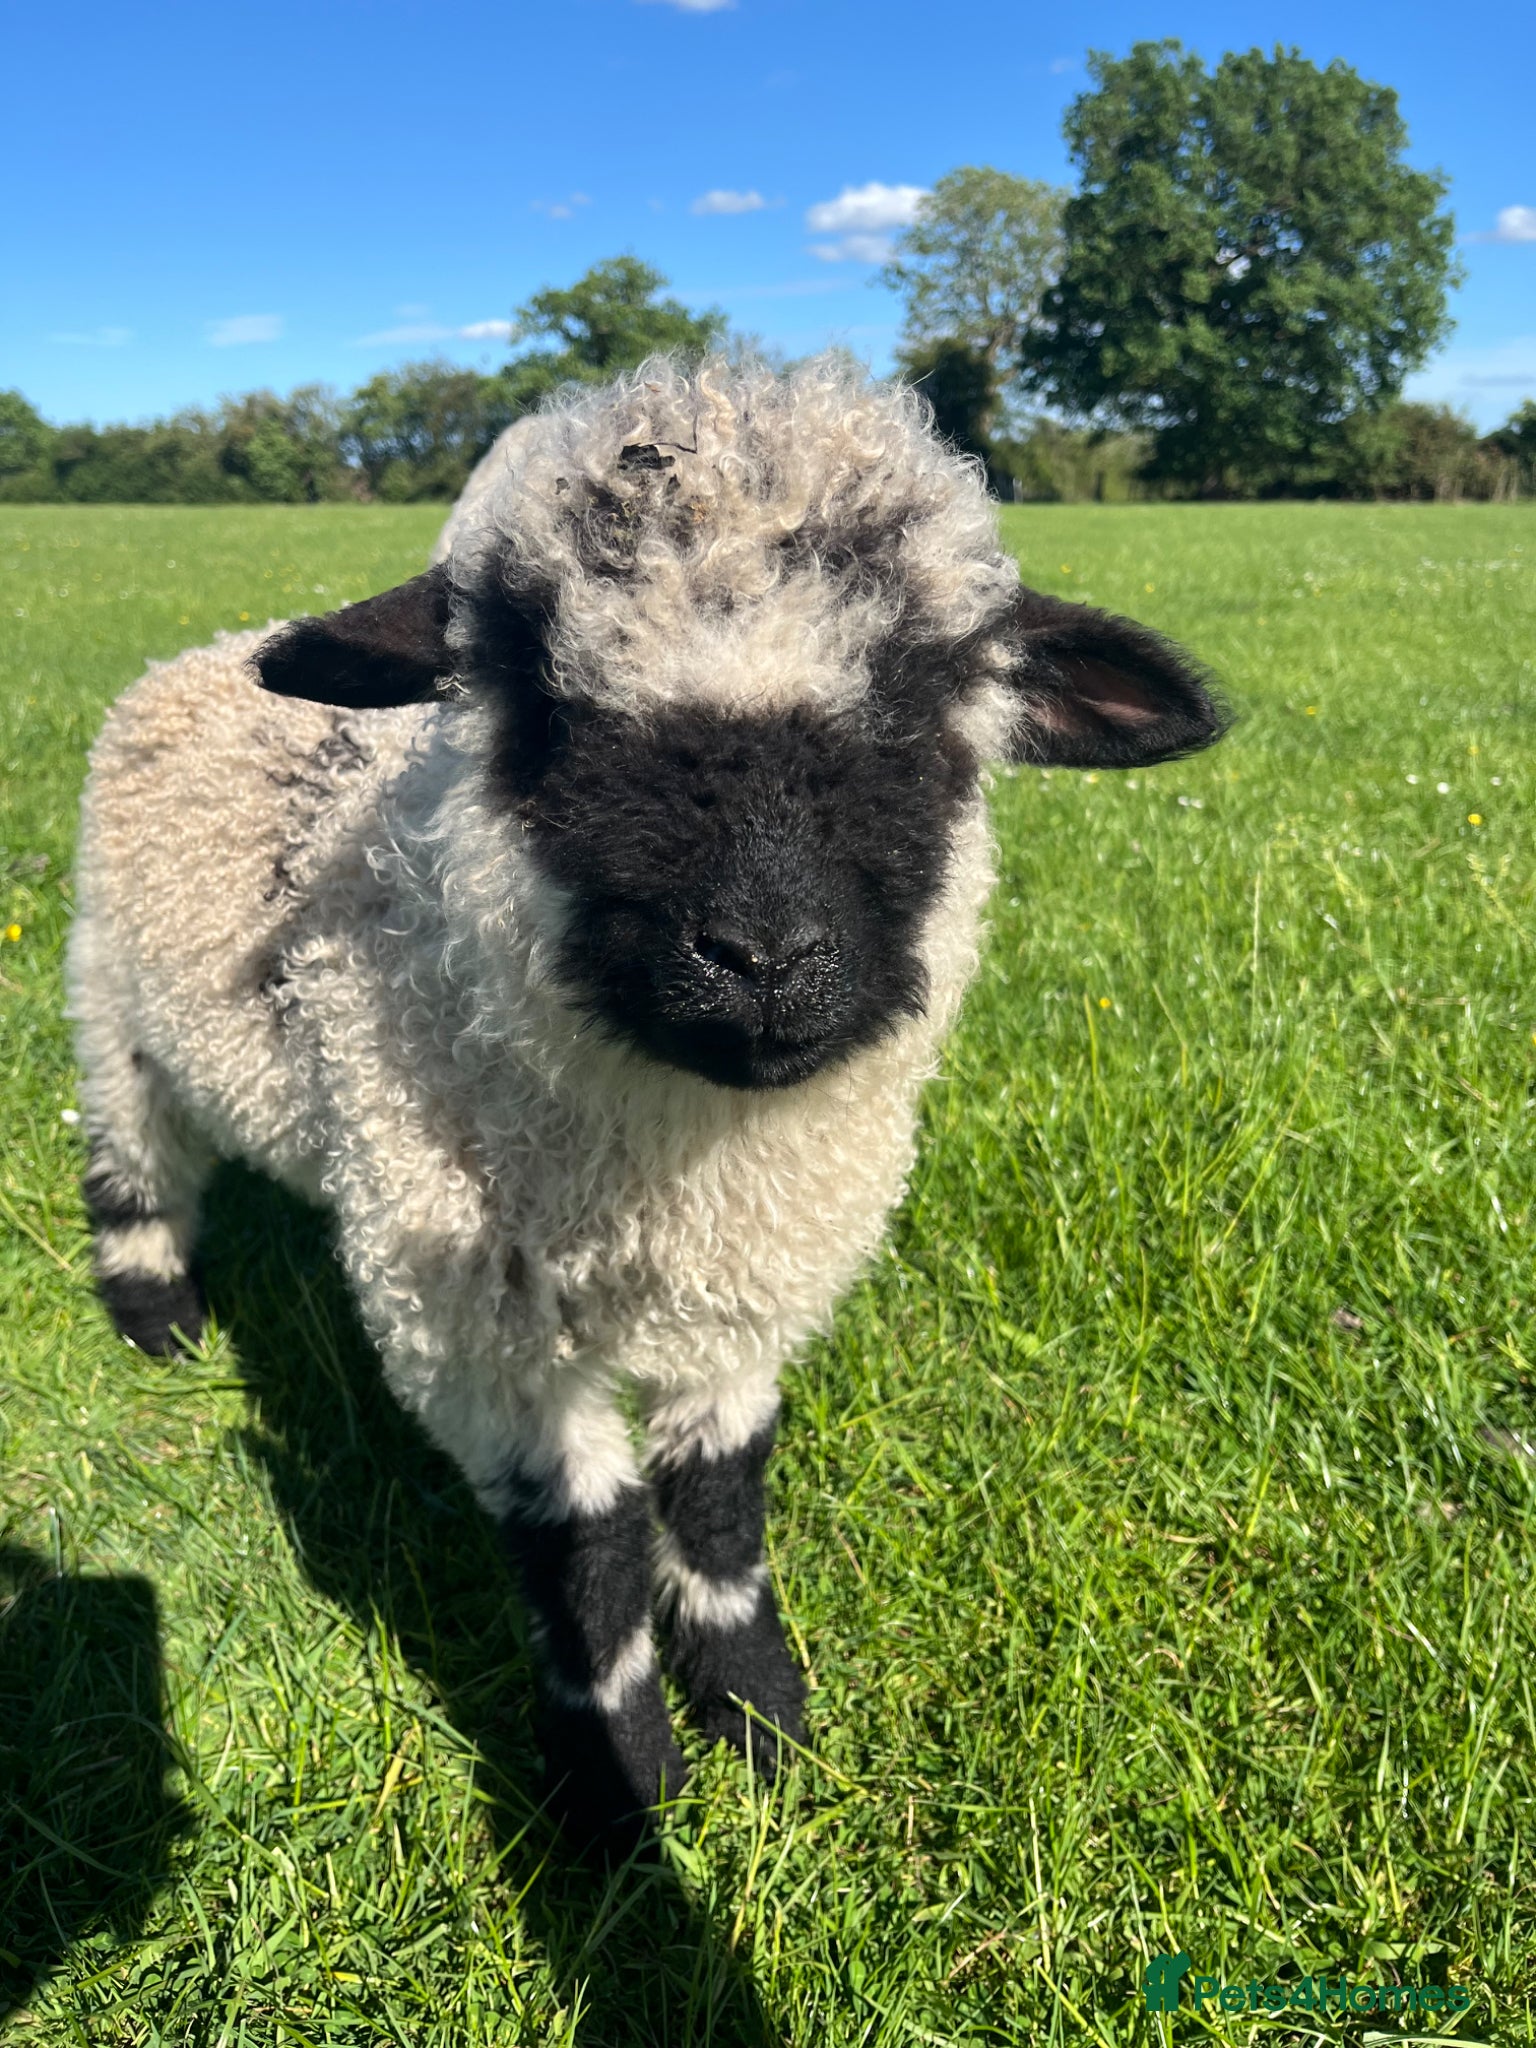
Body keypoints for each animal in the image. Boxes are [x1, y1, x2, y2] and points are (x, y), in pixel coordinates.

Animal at [68, 354, 1228, 1847]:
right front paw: (624, 1792)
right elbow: (589, 1553)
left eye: (931, 714)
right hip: (110, 997)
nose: (765, 955)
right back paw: (155, 1310)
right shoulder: (481, 1331)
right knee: (130, 1152)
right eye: (550, 712)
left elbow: (722, 1506)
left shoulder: (744, 1292)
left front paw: (763, 1724)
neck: (672, 1163)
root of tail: (206, 649)